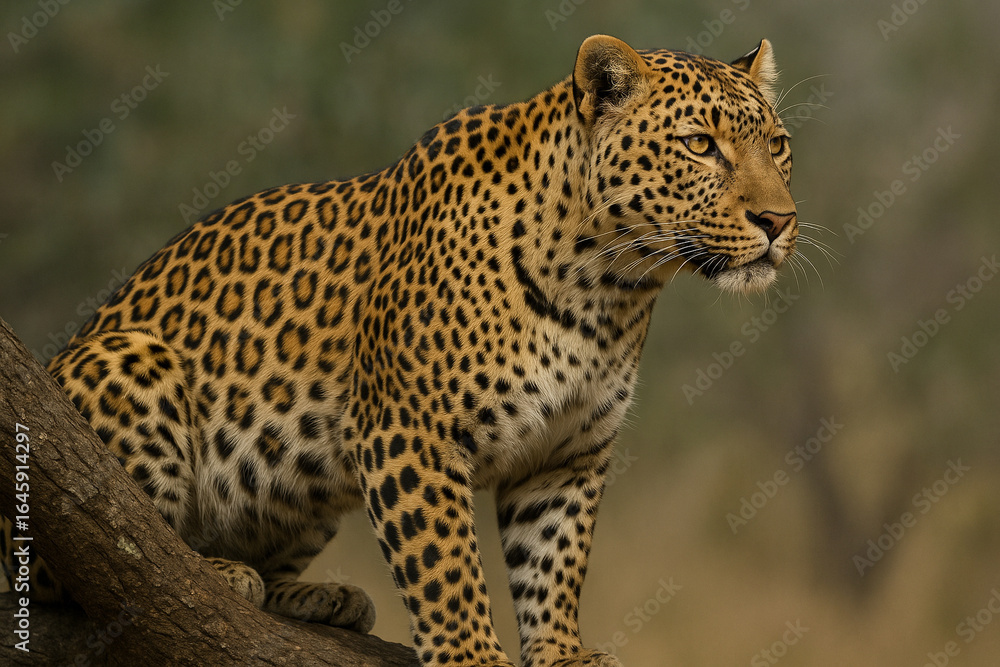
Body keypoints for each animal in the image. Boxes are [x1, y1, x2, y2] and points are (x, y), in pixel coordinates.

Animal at [3, 34, 796, 666]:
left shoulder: (567, 454)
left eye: (779, 145)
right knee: (79, 563)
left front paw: (563, 653)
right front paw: (474, 656)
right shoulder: (411, 435)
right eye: (700, 144)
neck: (610, 284)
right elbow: (446, 566)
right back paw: (214, 574)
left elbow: (554, 560)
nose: (780, 220)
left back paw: (319, 595)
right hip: (134, 359)